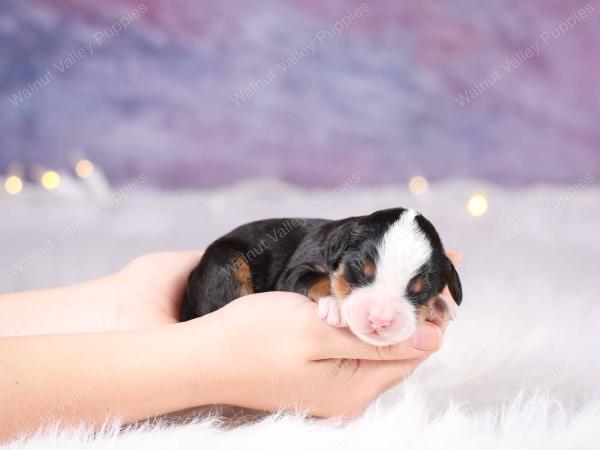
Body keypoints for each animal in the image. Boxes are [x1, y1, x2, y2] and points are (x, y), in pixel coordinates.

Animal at [180, 207, 462, 344]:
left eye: (419, 292)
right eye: (360, 272)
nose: (380, 321)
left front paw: (439, 305)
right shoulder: (295, 270)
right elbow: (319, 279)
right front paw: (335, 304)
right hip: (225, 262)